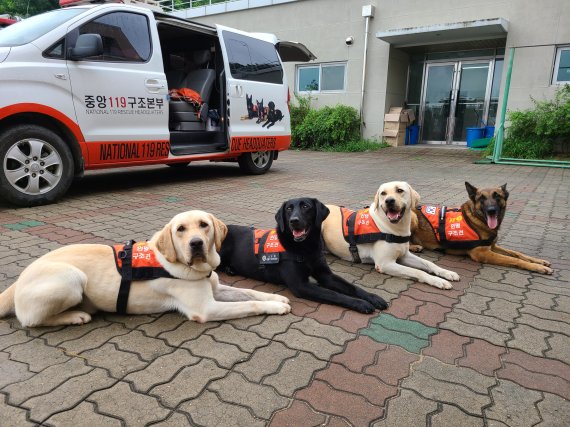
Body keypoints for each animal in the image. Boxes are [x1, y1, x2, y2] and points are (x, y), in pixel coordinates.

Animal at [408, 181, 552, 274]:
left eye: (497, 196)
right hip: (413, 218)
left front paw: (539, 261)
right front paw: (537, 267)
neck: (476, 219)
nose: (491, 210)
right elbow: (513, 259)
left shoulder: (492, 246)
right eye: (481, 198)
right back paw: (415, 247)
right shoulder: (482, 253)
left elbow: (516, 253)